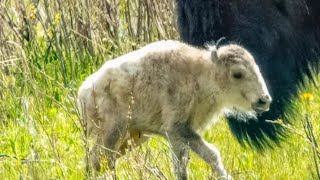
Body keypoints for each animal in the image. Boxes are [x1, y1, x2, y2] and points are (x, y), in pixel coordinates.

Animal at [77, 40, 270, 179]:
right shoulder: (178, 128)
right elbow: (211, 154)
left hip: (132, 137)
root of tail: (84, 92)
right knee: (102, 159)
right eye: (237, 74)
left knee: (97, 160)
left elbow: (181, 167)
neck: (200, 76)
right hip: (113, 132)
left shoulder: (177, 136)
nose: (264, 100)